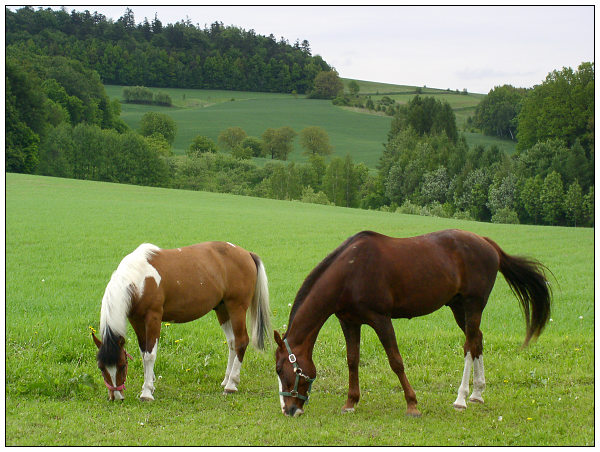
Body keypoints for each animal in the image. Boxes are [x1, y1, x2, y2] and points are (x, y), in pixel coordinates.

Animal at [91, 242, 270, 400]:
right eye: (101, 367)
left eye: (122, 365)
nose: (116, 397)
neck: (139, 279)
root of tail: (247, 254)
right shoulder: (136, 320)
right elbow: (143, 353)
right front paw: (150, 384)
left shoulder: (153, 318)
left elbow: (150, 354)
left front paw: (147, 392)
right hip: (223, 309)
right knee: (232, 342)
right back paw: (226, 380)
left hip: (236, 307)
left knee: (241, 341)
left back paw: (231, 385)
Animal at [274, 231, 552, 418]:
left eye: (280, 370)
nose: (288, 409)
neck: (350, 271)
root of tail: (486, 242)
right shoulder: (349, 322)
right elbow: (352, 360)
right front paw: (351, 402)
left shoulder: (381, 319)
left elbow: (395, 361)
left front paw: (412, 404)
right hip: (459, 308)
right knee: (477, 341)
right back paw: (477, 393)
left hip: (473, 305)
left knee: (469, 345)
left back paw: (461, 398)